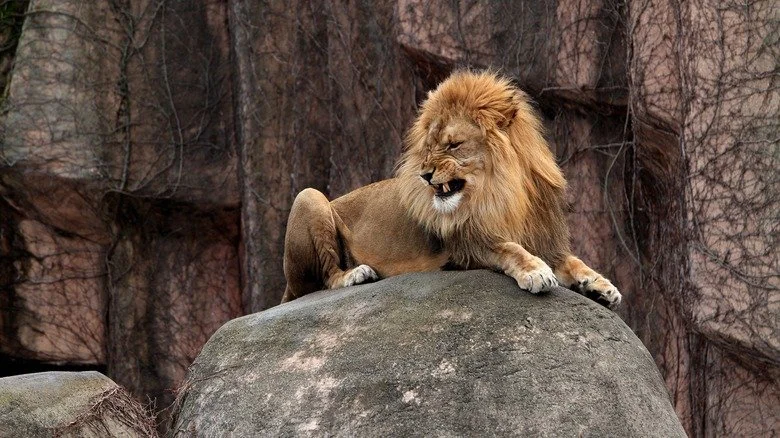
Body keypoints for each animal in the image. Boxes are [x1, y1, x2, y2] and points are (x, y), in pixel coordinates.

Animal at [281, 70, 622, 309]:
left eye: (453, 144)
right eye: (430, 146)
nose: (424, 174)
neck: (502, 194)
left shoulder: (544, 237)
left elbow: (572, 260)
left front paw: (600, 285)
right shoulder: (466, 245)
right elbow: (508, 248)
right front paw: (535, 270)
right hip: (309, 197)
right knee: (325, 279)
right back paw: (355, 273)